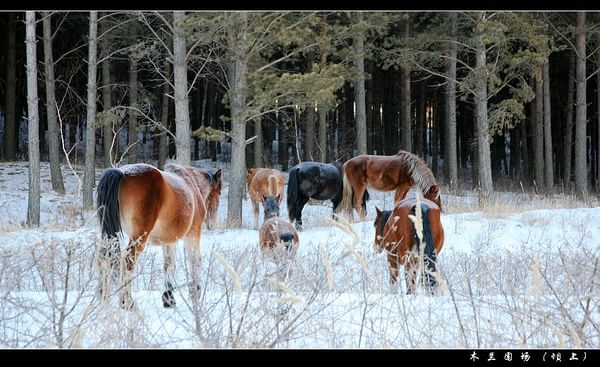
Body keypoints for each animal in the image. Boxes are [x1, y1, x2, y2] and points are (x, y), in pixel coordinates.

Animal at [97, 162, 221, 310]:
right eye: (218, 193)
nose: (213, 224)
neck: (193, 186)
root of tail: (122, 173)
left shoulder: (169, 241)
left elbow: (169, 266)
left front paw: (169, 299)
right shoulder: (193, 234)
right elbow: (195, 260)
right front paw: (195, 292)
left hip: (110, 237)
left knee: (104, 259)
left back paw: (103, 298)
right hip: (138, 239)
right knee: (127, 262)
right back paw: (127, 302)